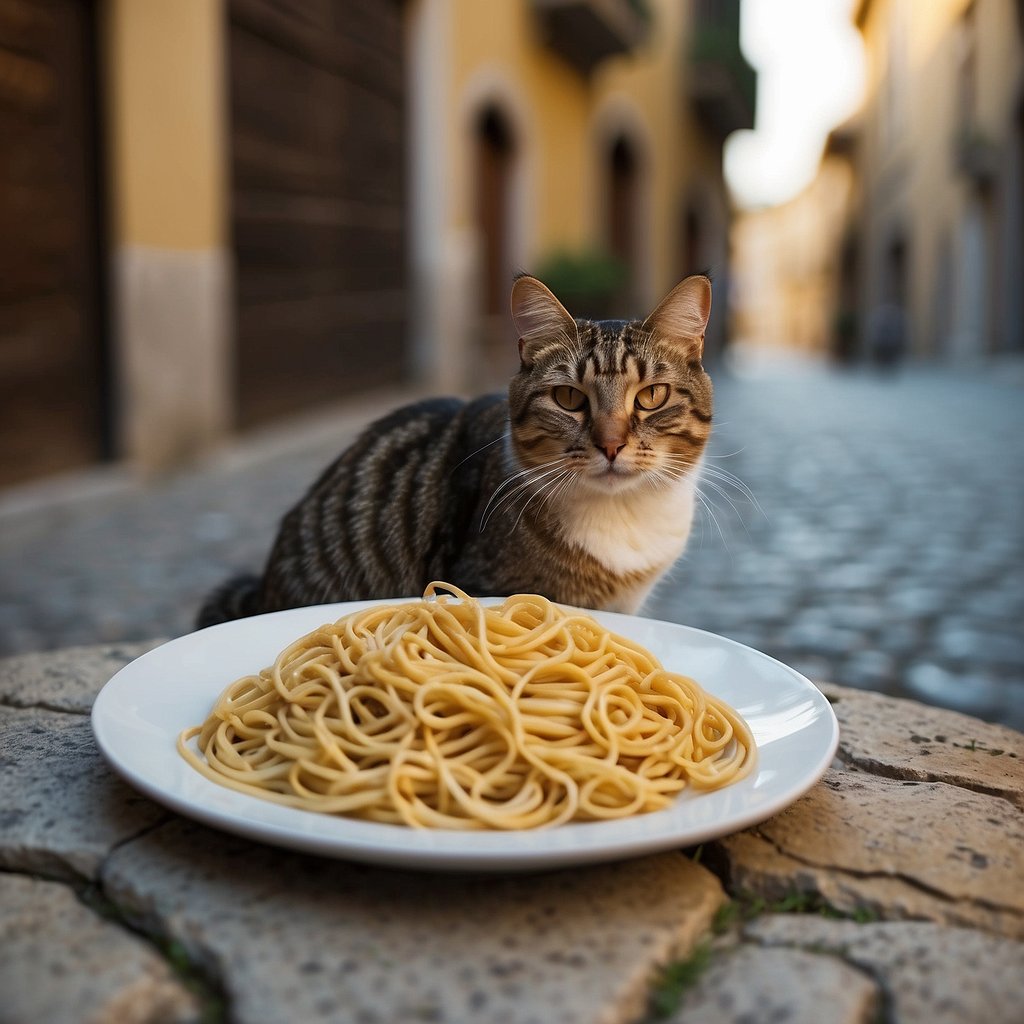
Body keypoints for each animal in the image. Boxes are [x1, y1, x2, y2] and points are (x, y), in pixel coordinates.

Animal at [197, 272, 712, 622]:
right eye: (569, 398)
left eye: (651, 396)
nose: (610, 444)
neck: (623, 518)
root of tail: (263, 589)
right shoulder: (484, 581)